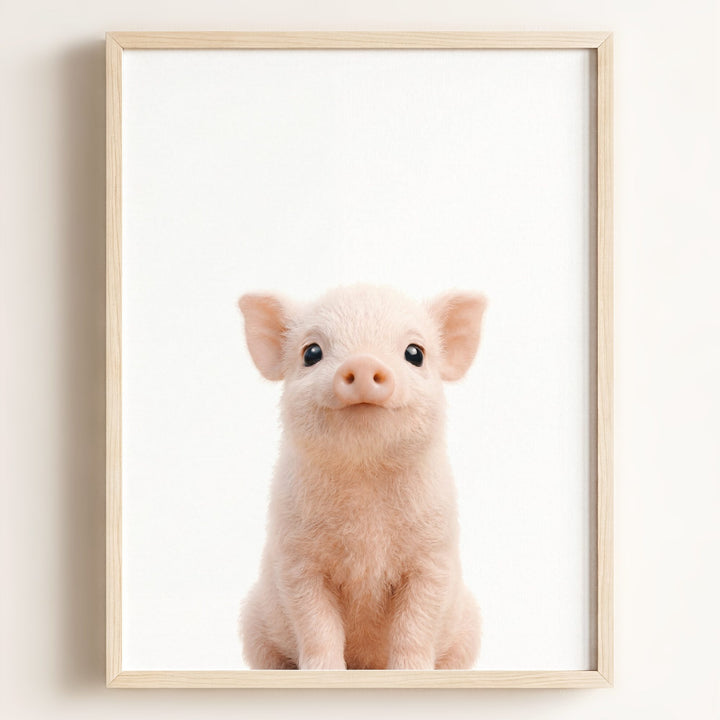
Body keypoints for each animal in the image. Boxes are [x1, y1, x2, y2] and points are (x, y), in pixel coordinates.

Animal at [238, 284, 486, 670]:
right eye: (311, 353)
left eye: (415, 353)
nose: (364, 362)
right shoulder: (297, 561)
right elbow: (316, 623)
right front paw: (323, 671)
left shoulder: (433, 557)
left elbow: (416, 623)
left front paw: (411, 671)